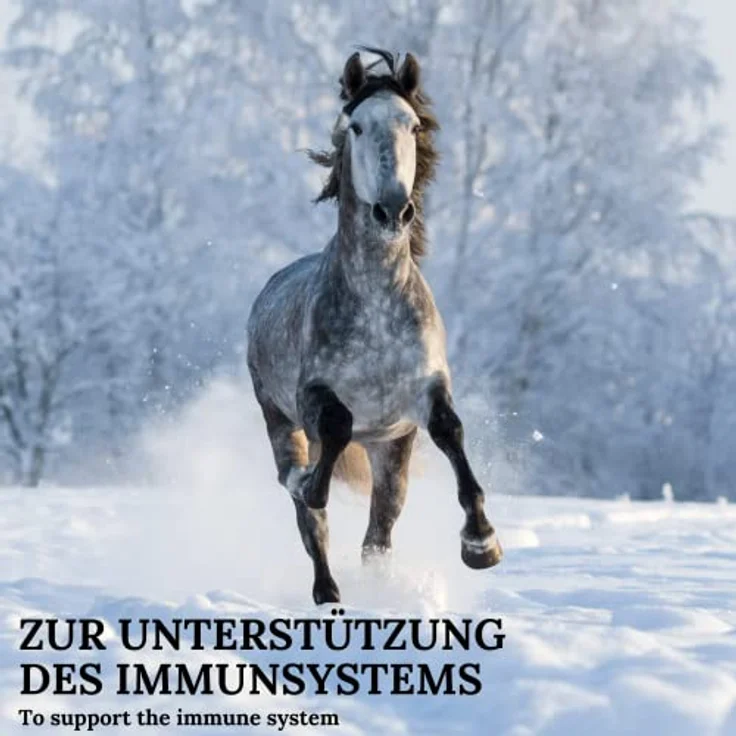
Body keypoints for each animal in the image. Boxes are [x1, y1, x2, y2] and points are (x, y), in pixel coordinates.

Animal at [247, 48, 502, 604]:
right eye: (357, 126)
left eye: (412, 125)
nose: (392, 210)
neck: (377, 313)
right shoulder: (312, 396)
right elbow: (333, 433)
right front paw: (311, 484)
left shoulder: (422, 394)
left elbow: (450, 429)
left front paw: (481, 542)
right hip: (279, 419)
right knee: (309, 516)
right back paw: (327, 588)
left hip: (390, 449)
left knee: (379, 530)